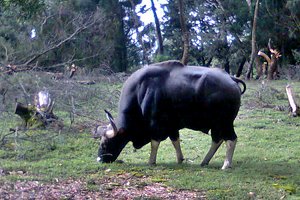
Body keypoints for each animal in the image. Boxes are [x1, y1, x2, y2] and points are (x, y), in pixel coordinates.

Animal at [94, 60, 246, 169]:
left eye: (105, 144)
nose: (99, 159)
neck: (139, 93)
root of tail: (231, 78)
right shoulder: (172, 126)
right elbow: (175, 141)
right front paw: (180, 159)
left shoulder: (156, 125)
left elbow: (155, 143)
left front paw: (151, 161)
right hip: (217, 124)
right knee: (217, 139)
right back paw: (205, 161)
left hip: (224, 122)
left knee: (231, 139)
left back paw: (226, 165)